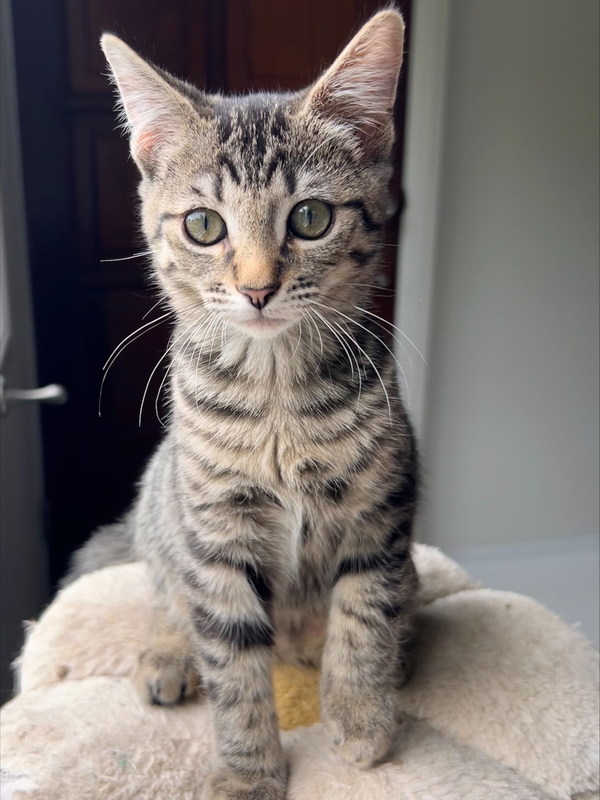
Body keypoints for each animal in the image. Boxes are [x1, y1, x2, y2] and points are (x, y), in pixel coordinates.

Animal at [67, 10, 419, 800]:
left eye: (311, 217)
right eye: (204, 225)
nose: (257, 288)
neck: (276, 394)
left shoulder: (383, 510)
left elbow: (365, 613)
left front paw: (362, 717)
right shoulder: (214, 527)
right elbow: (231, 660)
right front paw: (247, 772)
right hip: (163, 503)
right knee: (167, 592)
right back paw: (168, 656)